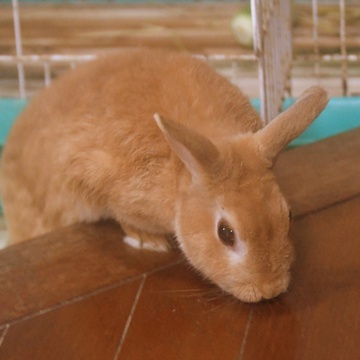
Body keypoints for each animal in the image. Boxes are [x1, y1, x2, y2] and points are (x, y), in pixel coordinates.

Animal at [0, 49, 330, 302]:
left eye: (288, 215)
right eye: (226, 233)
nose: (269, 290)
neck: (179, 172)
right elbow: (121, 213)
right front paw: (147, 241)